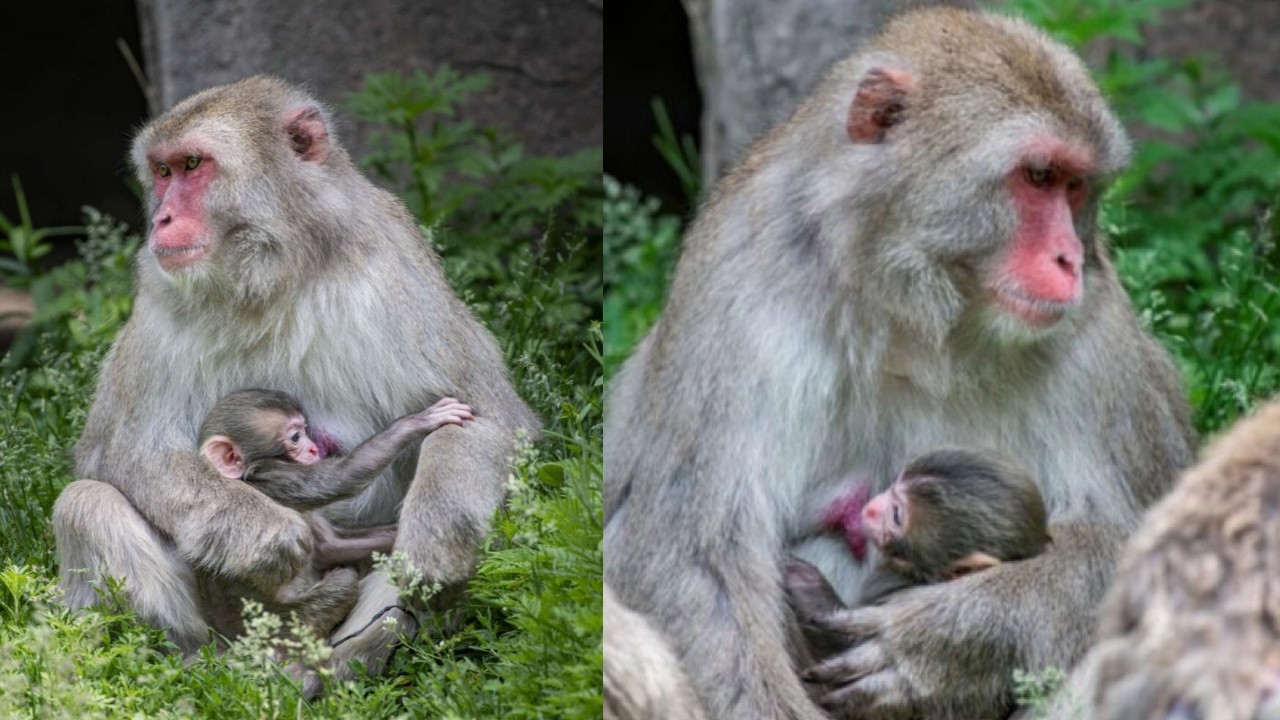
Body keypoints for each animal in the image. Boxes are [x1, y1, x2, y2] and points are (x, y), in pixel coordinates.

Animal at [52, 75, 539, 689]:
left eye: (193, 165)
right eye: (162, 172)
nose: (160, 220)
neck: (274, 274)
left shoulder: (395, 267)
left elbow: (490, 415)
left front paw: (436, 541)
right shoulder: (160, 294)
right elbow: (125, 451)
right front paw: (263, 534)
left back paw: (333, 672)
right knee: (86, 502)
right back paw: (198, 670)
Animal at [604, 7, 1193, 719]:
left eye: (1076, 186)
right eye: (1038, 176)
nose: (1069, 259)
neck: (917, 320)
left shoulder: (1094, 335)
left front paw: (954, 641)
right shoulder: (736, 290)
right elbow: (691, 558)